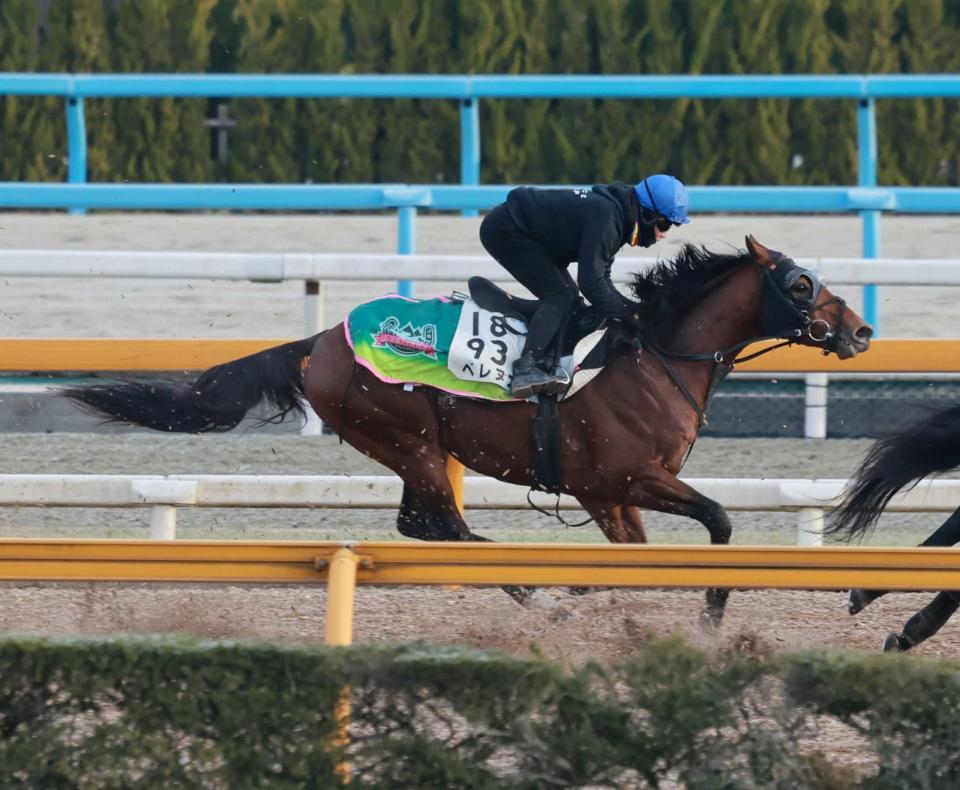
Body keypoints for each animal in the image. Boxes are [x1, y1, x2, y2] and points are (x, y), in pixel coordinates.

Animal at [62, 235, 872, 632]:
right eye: (800, 284)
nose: (861, 330)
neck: (654, 356)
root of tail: (319, 341)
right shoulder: (629, 478)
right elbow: (722, 521)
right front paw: (704, 619)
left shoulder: (607, 495)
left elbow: (633, 560)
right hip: (409, 437)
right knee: (440, 526)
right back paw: (530, 586)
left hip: (412, 448)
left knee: (427, 524)